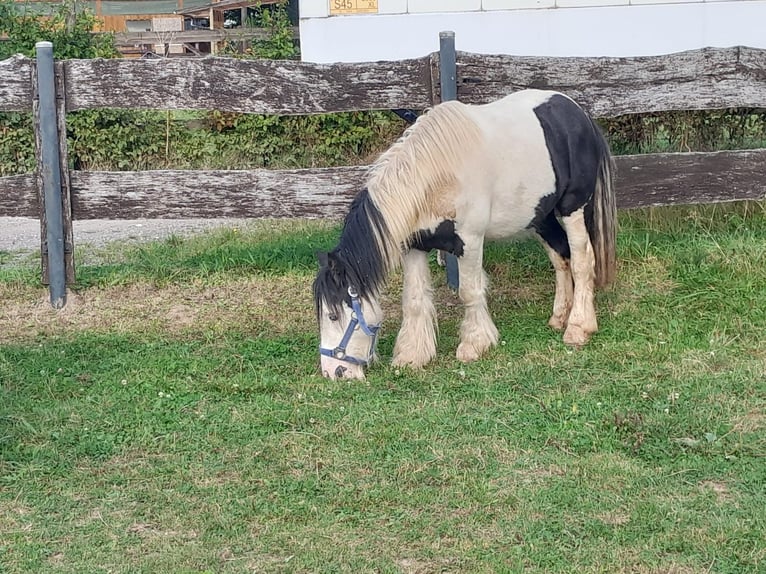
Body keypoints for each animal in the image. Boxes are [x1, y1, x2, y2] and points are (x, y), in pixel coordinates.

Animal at [312, 89, 616, 382]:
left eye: (334, 315)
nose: (334, 372)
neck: (435, 177)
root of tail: (579, 114)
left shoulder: (469, 241)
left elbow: (469, 292)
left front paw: (474, 345)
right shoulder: (415, 247)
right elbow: (414, 300)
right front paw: (412, 356)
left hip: (572, 208)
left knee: (581, 261)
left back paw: (578, 327)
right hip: (541, 216)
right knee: (561, 258)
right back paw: (559, 318)